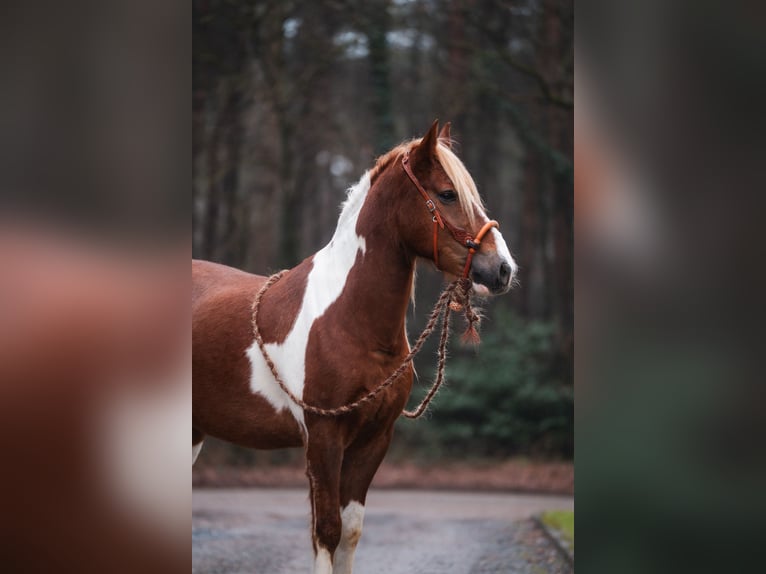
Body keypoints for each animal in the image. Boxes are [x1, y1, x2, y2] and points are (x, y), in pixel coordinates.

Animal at [192, 121, 517, 574]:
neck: (350, 320)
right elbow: (326, 531)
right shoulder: (324, 438)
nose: (503, 269)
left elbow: (350, 531)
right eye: (447, 194)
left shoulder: (374, 439)